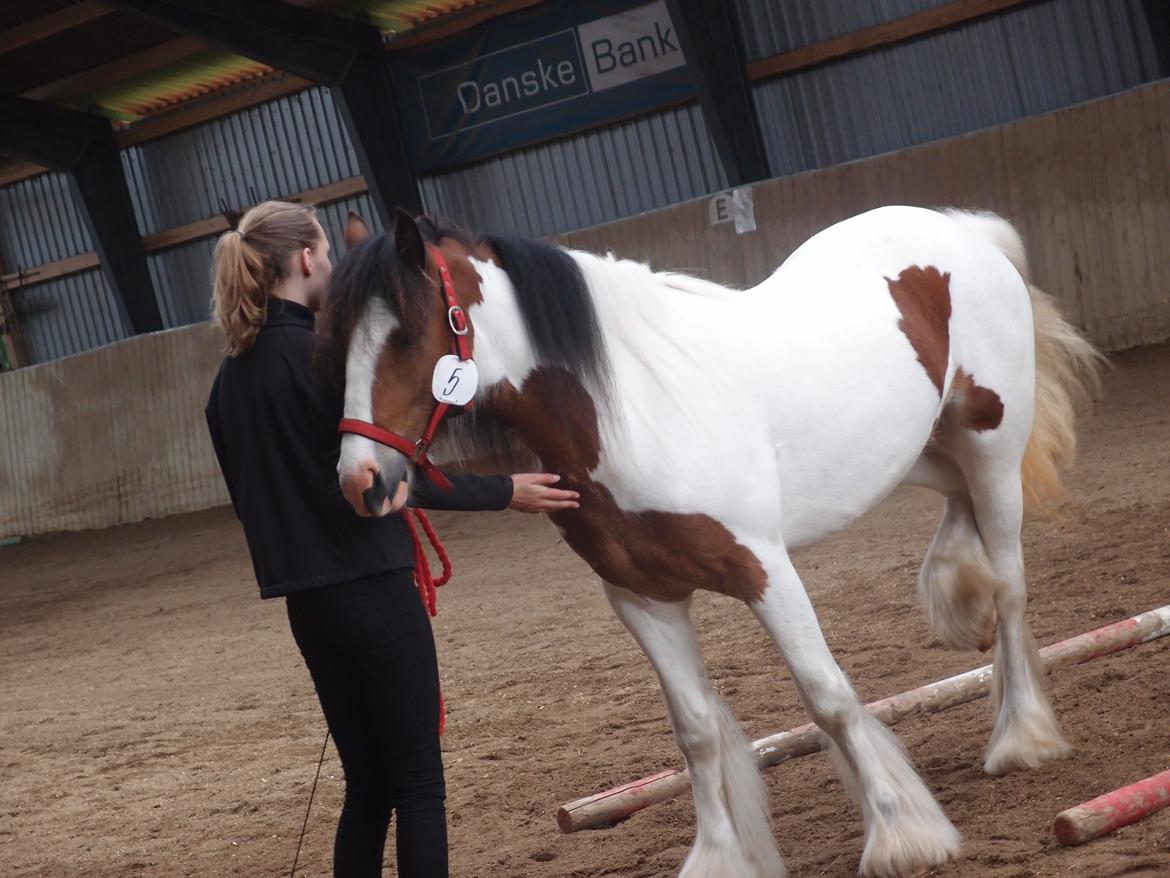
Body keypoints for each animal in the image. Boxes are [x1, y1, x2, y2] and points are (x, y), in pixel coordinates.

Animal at [327, 208, 1095, 878]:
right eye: (338, 344)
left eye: (406, 334)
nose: (361, 481)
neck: (631, 411)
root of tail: (963, 232)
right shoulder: (642, 598)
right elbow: (695, 731)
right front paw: (722, 858)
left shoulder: (764, 570)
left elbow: (827, 697)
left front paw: (901, 835)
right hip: (926, 449)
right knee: (963, 522)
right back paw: (960, 600)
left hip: (991, 443)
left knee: (1012, 585)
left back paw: (1022, 736)